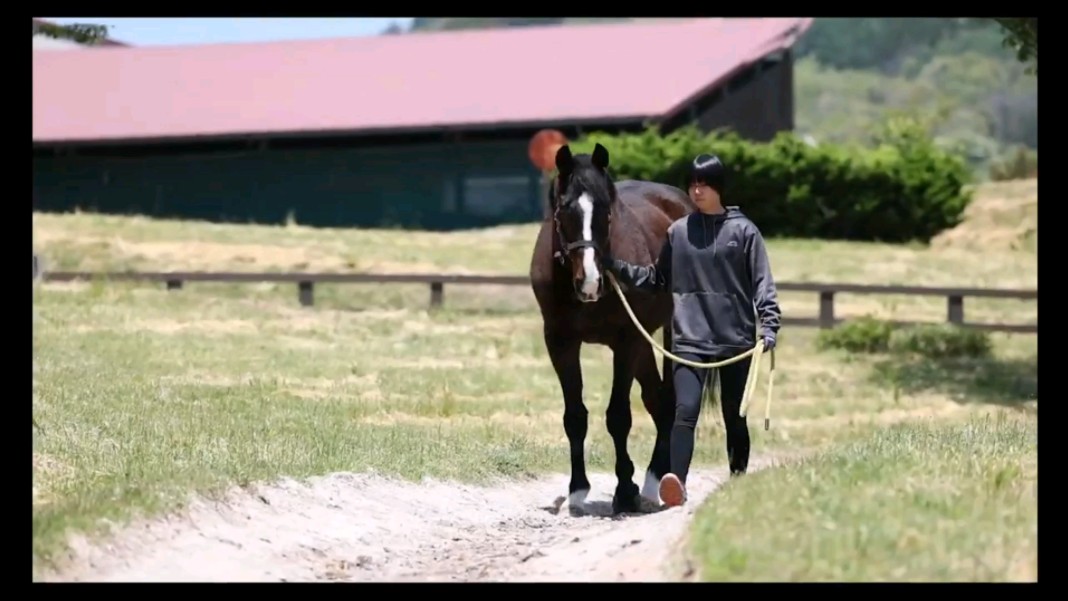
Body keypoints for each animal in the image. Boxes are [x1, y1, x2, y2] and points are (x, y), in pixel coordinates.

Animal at [529, 141, 696, 512]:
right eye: (563, 212)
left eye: (606, 212)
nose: (590, 282)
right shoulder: (560, 342)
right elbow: (575, 416)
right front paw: (578, 490)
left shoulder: (626, 341)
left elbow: (619, 416)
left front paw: (624, 490)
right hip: (645, 343)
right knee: (657, 399)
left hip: (664, 335)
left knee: (667, 401)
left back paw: (655, 482)